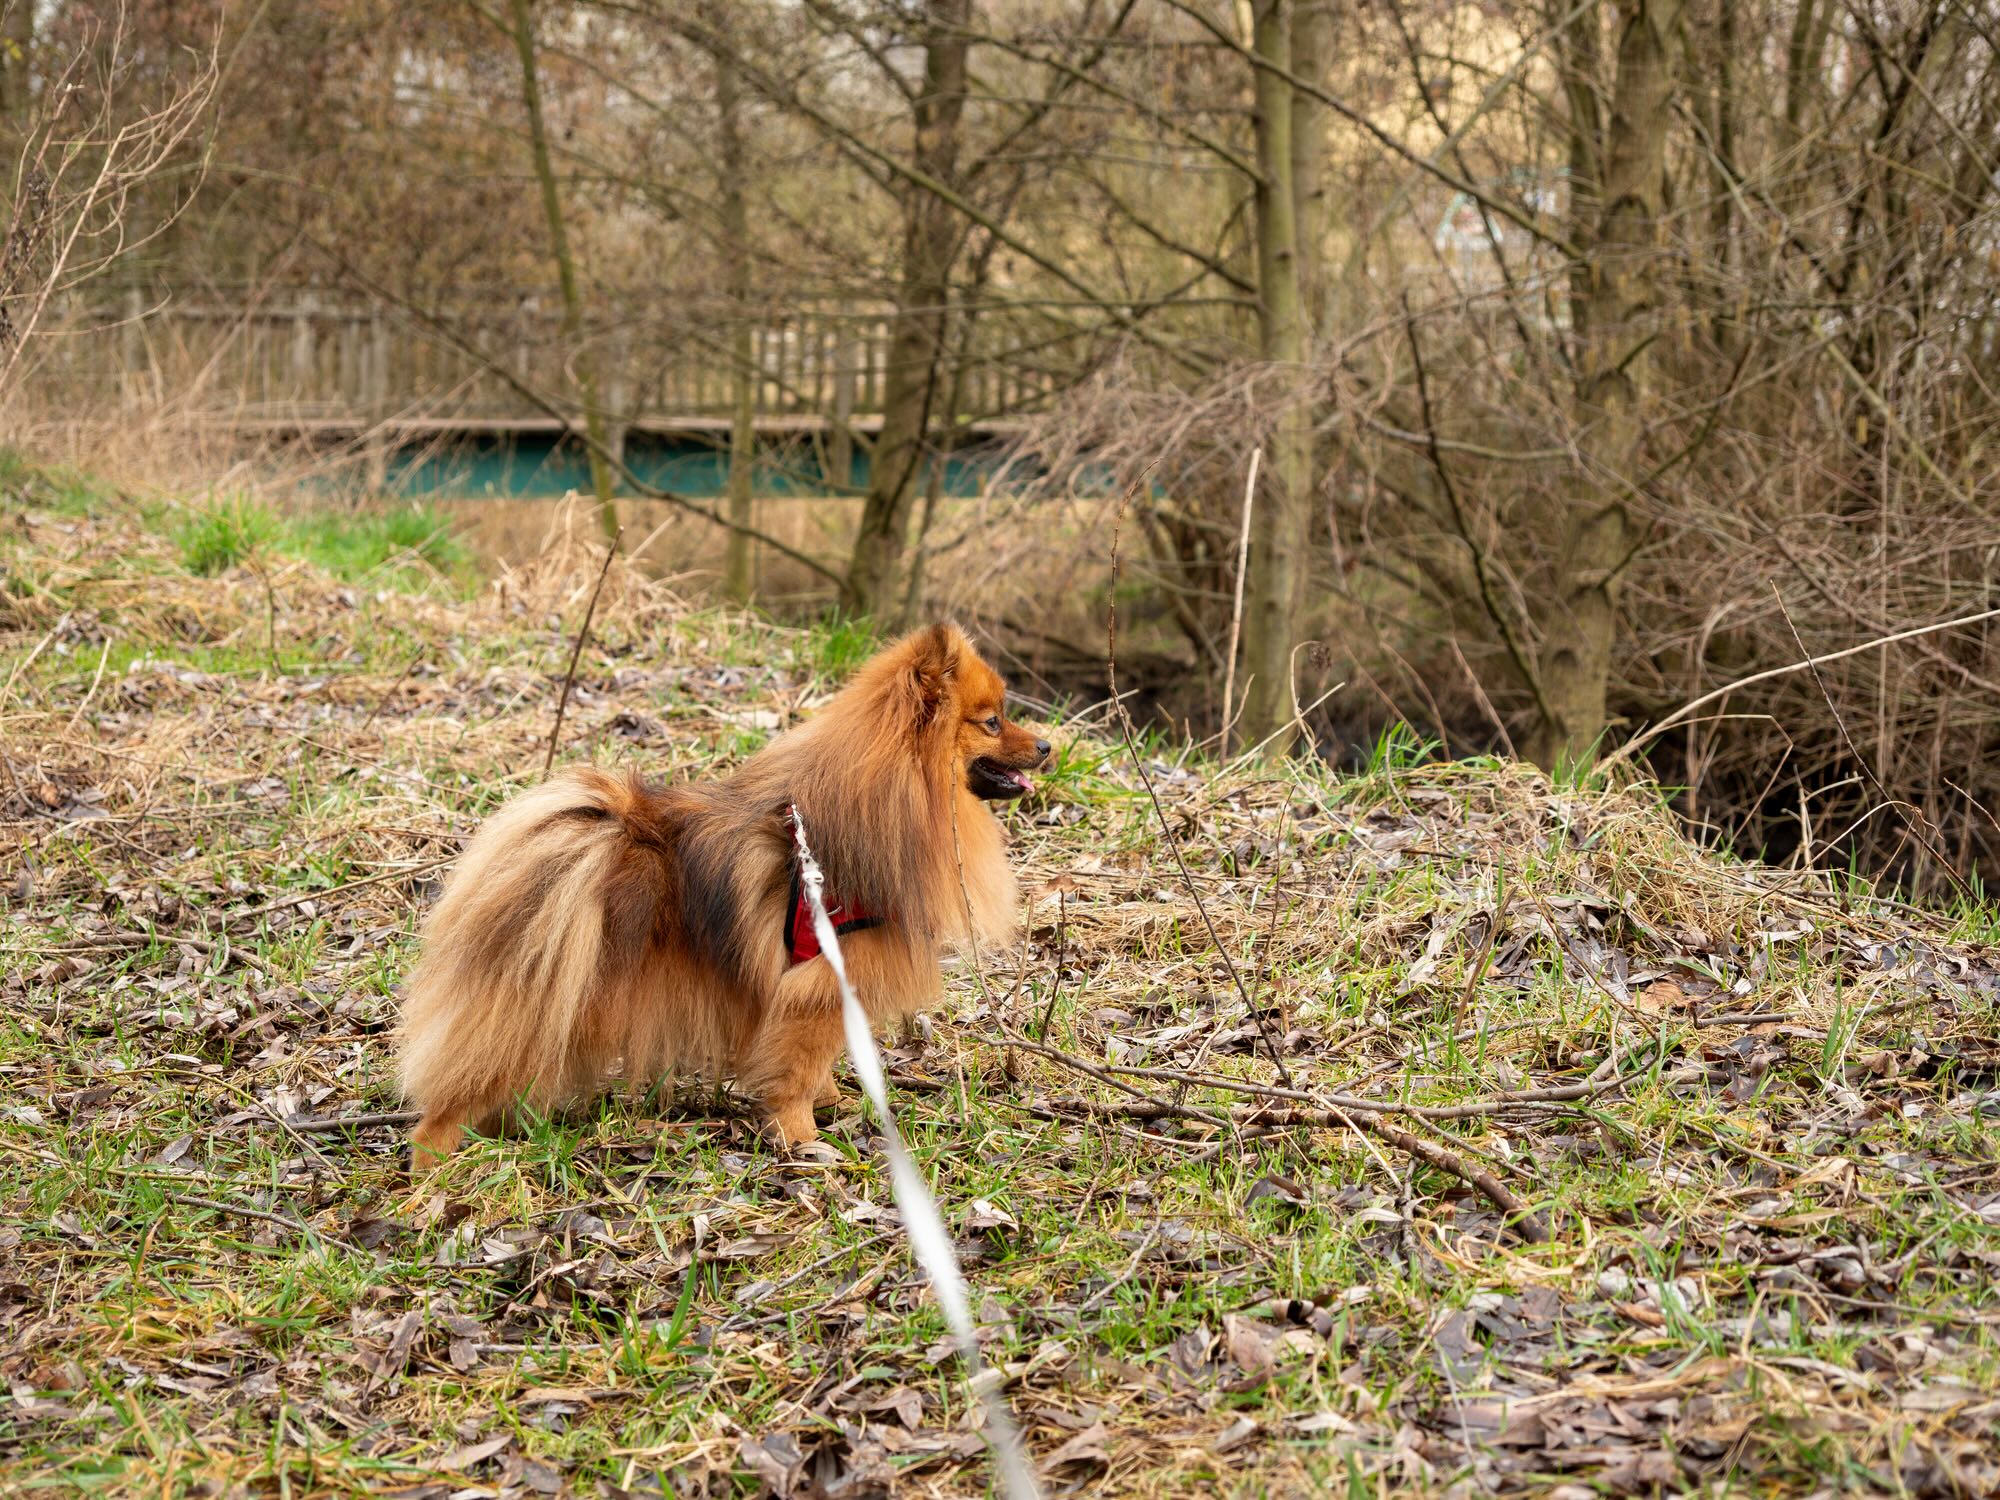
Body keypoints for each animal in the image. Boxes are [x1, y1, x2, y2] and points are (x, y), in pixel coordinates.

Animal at [392, 624, 1048, 1160]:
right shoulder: (820, 983)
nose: (1047, 745)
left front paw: (828, 1102)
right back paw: (432, 1167)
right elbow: (796, 1068)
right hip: (536, 1005)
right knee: (458, 1093)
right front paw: (801, 1137)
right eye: (993, 720)